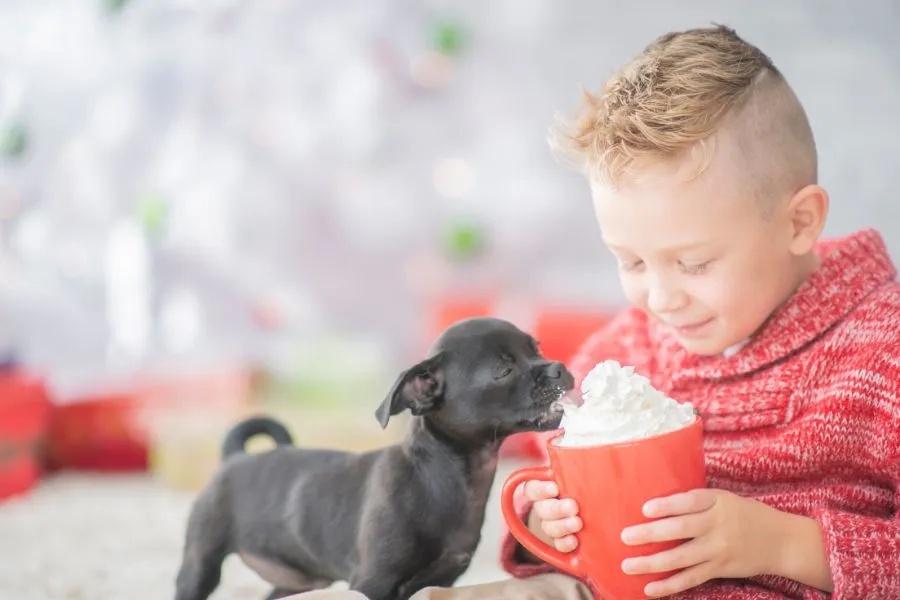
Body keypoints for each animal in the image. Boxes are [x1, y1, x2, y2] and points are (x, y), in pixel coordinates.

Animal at [172, 316, 572, 596]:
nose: (559, 367)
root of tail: (233, 457)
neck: (443, 478)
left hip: (295, 580)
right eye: (504, 370)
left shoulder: (441, 580)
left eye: (537, 349)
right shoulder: (373, 582)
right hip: (201, 562)